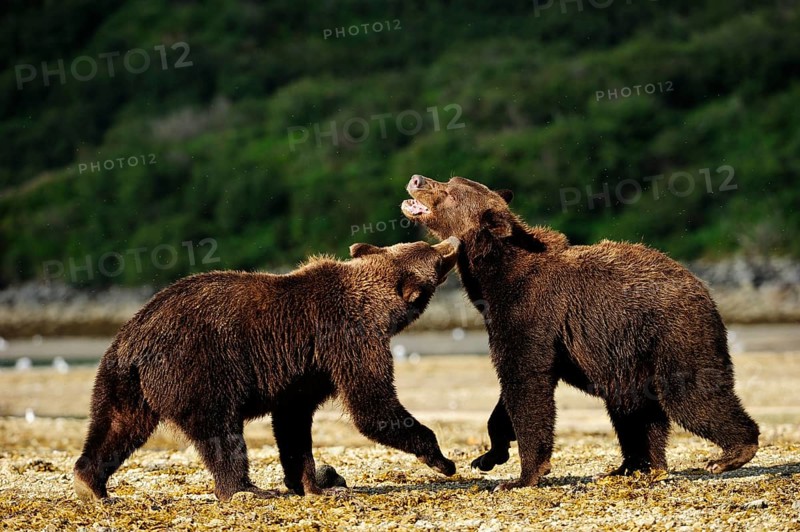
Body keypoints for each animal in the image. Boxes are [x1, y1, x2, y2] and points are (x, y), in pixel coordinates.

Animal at [73, 238, 460, 502]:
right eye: (437, 258)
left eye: (426, 246)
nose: (453, 242)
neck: (375, 306)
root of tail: (134, 339)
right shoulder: (346, 337)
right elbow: (372, 404)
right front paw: (441, 459)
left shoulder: (308, 370)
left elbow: (293, 421)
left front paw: (311, 482)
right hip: (197, 366)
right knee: (220, 430)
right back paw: (244, 489)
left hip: (121, 378)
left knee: (118, 425)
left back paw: (90, 483)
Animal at [401, 174, 759, 491]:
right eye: (449, 180)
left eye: (449, 191)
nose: (417, 180)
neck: (493, 279)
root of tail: (703, 288)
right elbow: (509, 394)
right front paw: (489, 456)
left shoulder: (531, 315)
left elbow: (527, 385)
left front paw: (522, 476)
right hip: (630, 357)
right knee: (633, 410)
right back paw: (632, 467)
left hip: (674, 334)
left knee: (690, 396)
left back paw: (729, 454)